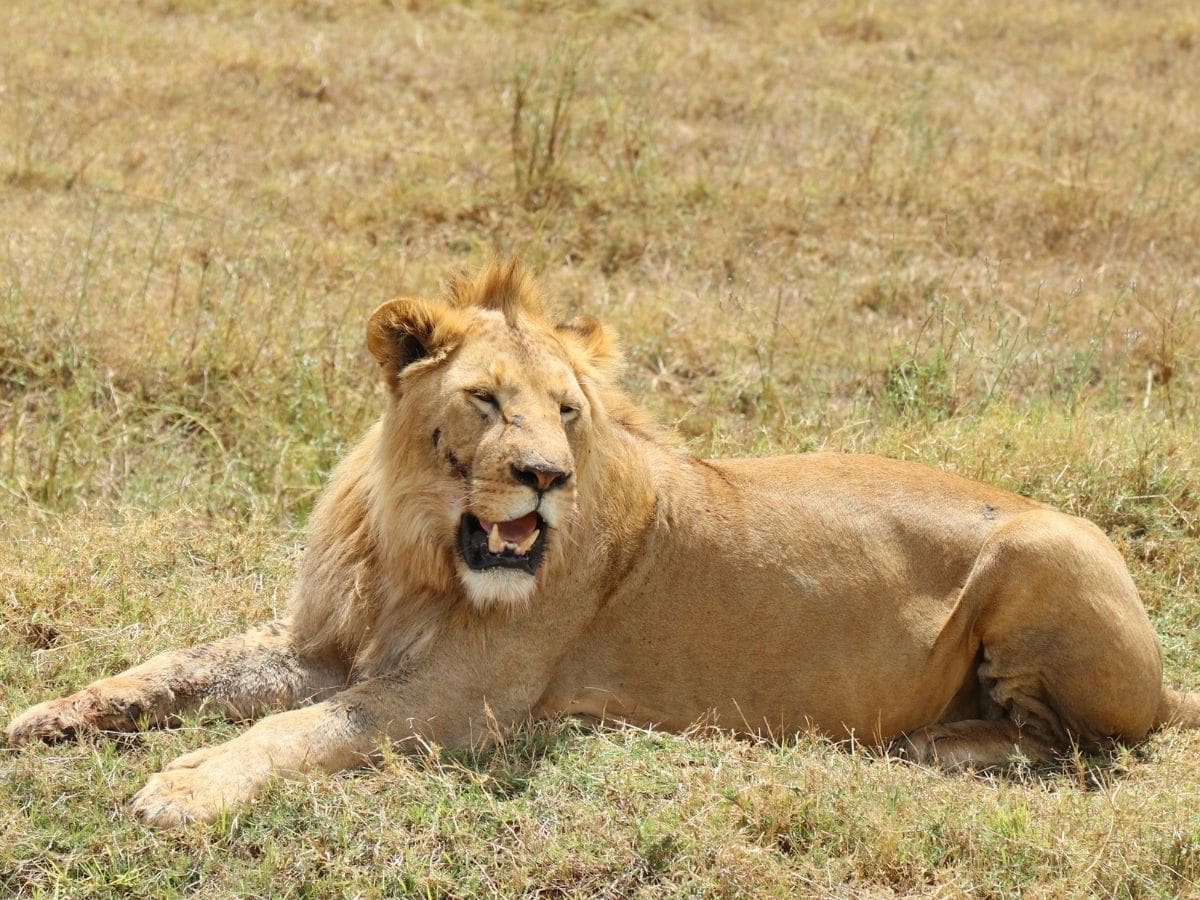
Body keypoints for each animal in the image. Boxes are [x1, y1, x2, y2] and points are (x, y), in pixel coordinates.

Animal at [8, 260, 1199, 827]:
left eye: (569, 411)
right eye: (487, 401)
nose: (545, 477)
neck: (411, 548)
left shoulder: (451, 704)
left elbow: (292, 731)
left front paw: (182, 788)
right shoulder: (318, 642)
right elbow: (180, 664)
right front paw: (49, 713)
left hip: (1051, 548)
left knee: (1087, 743)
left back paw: (946, 744)